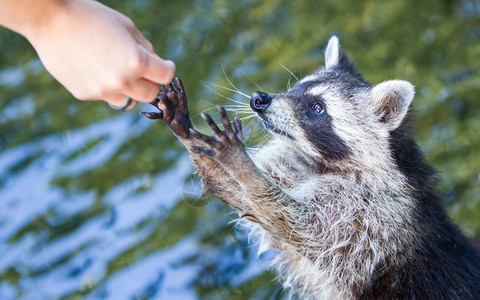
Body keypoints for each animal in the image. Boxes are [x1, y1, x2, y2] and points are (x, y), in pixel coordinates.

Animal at [142, 36, 480, 298]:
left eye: (317, 108)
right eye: (296, 87)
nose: (259, 99)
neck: (321, 163)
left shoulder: (374, 216)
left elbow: (303, 228)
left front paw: (242, 167)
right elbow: (241, 199)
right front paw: (191, 137)